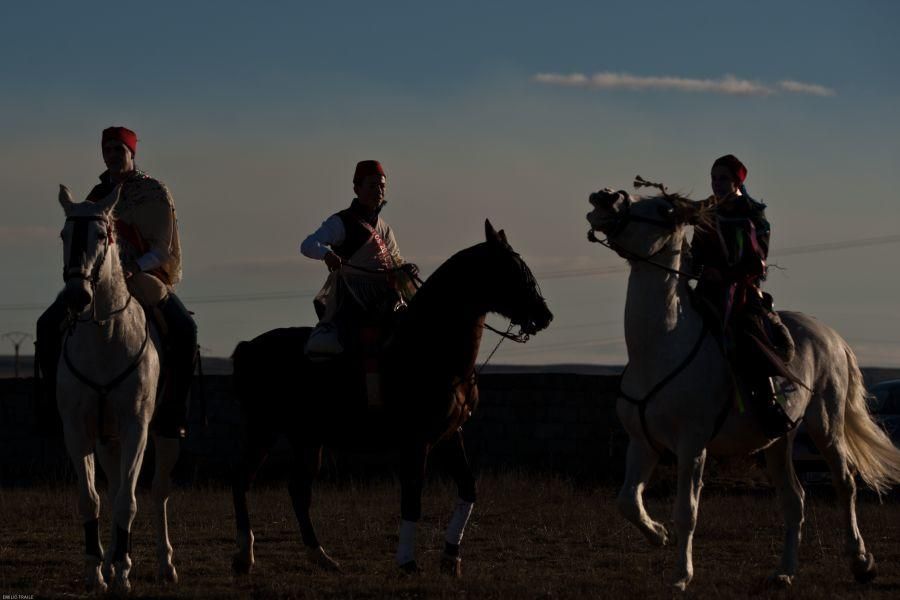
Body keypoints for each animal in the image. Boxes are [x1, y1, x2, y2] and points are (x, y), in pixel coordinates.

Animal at [56, 185, 179, 592]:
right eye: (64, 235)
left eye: (101, 235)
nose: (77, 296)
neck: (106, 337)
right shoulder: (78, 431)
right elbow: (91, 499)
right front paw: (96, 570)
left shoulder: (135, 428)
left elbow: (128, 499)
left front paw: (124, 572)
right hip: (106, 441)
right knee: (111, 490)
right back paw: (109, 561)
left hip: (166, 430)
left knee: (159, 491)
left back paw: (165, 564)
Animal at [229, 221, 552, 576]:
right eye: (512, 270)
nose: (544, 315)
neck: (430, 349)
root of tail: (248, 346)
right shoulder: (416, 440)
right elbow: (412, 497)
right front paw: (407, 561)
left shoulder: (449, 435)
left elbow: (468, 488)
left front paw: (451, 557)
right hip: (263, 430)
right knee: (242, 480)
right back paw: (244, 556)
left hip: (308, 439)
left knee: (298, 490)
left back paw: (322, 556)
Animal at [584, 188, 900, 592]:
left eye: (662, 208)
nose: (603, 197)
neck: (660, 347)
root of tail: (832, 336)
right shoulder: (643, 443)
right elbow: (627, 501)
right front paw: (658, 534)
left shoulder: (693, 446)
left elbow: (687, 511)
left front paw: (680, 575)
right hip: (780, 441)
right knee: (794, 500)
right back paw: (785, 572)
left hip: (825, 427)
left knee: (845, 484)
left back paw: (861, 563)